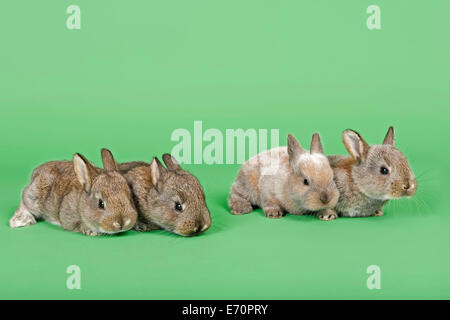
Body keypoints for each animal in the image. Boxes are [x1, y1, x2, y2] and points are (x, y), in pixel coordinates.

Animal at [9, 148, 137, 235]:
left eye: (130, 198)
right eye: (101, 204)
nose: (123, 223)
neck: (81, 203)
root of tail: (36, 172)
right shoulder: (68, 216)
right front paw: (90, 231)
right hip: (34, 197)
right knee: (24, 201)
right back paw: (21, 221)